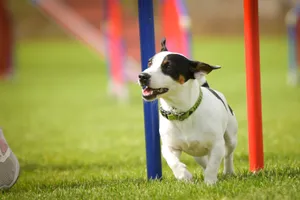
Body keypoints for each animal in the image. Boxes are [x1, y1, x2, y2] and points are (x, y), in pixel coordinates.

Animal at [138, 38, 239, 184]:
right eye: (149, 63)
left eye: (168, 66)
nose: (142, 76)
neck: (181, 113)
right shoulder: (169, 146)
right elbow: (172, 161)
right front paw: (184, 176)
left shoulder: (217, 145)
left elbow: (213, 165)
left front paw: (210, 182)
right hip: (197, 153)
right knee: (203, 160)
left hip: (231, 137)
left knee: (228, 154)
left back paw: (228, 172)